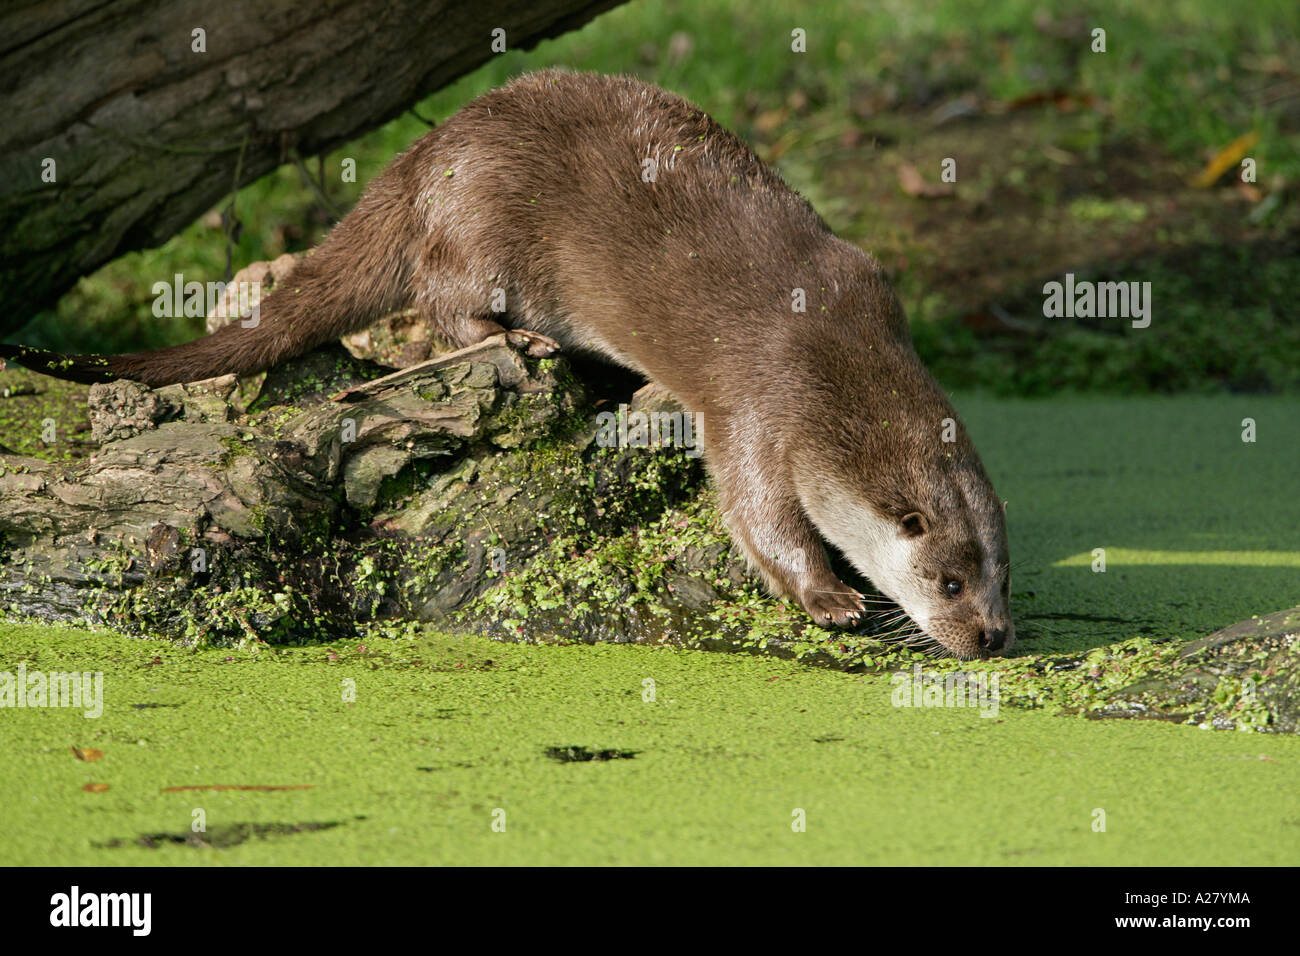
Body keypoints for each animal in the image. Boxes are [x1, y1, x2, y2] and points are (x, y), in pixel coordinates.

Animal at [1, 70, 1013, 658]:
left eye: (1000, 574)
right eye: (947, 582)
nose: (993, 636)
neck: (840, 357)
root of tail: (424, 155)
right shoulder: (761, 410)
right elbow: (759, 516)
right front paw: (833, 599)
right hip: (480, 219)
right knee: (439, 294)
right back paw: (520, 341)